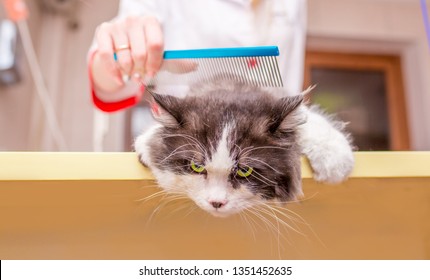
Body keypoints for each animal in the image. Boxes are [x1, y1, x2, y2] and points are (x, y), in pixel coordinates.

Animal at [136, 77, 354, 218]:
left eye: (244, 170)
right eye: (197, 167)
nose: (216, 203)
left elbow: (311, 124)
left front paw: (335, 160)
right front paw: (146, 143)